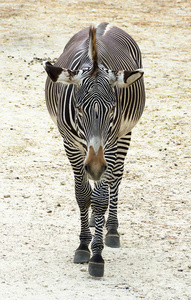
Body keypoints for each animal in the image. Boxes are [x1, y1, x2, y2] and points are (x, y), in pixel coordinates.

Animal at [43, 22, 145, 278]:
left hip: (124, 136)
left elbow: (99, 199)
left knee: (115, 179)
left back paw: (112, 229)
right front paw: (82, 245)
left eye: (112, 110)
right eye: (79, 109)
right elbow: (83, 195)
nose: (97, 167)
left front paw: (97, 254)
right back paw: (91, 220)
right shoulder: (70, 145)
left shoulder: (110, 144)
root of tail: (105, 24)